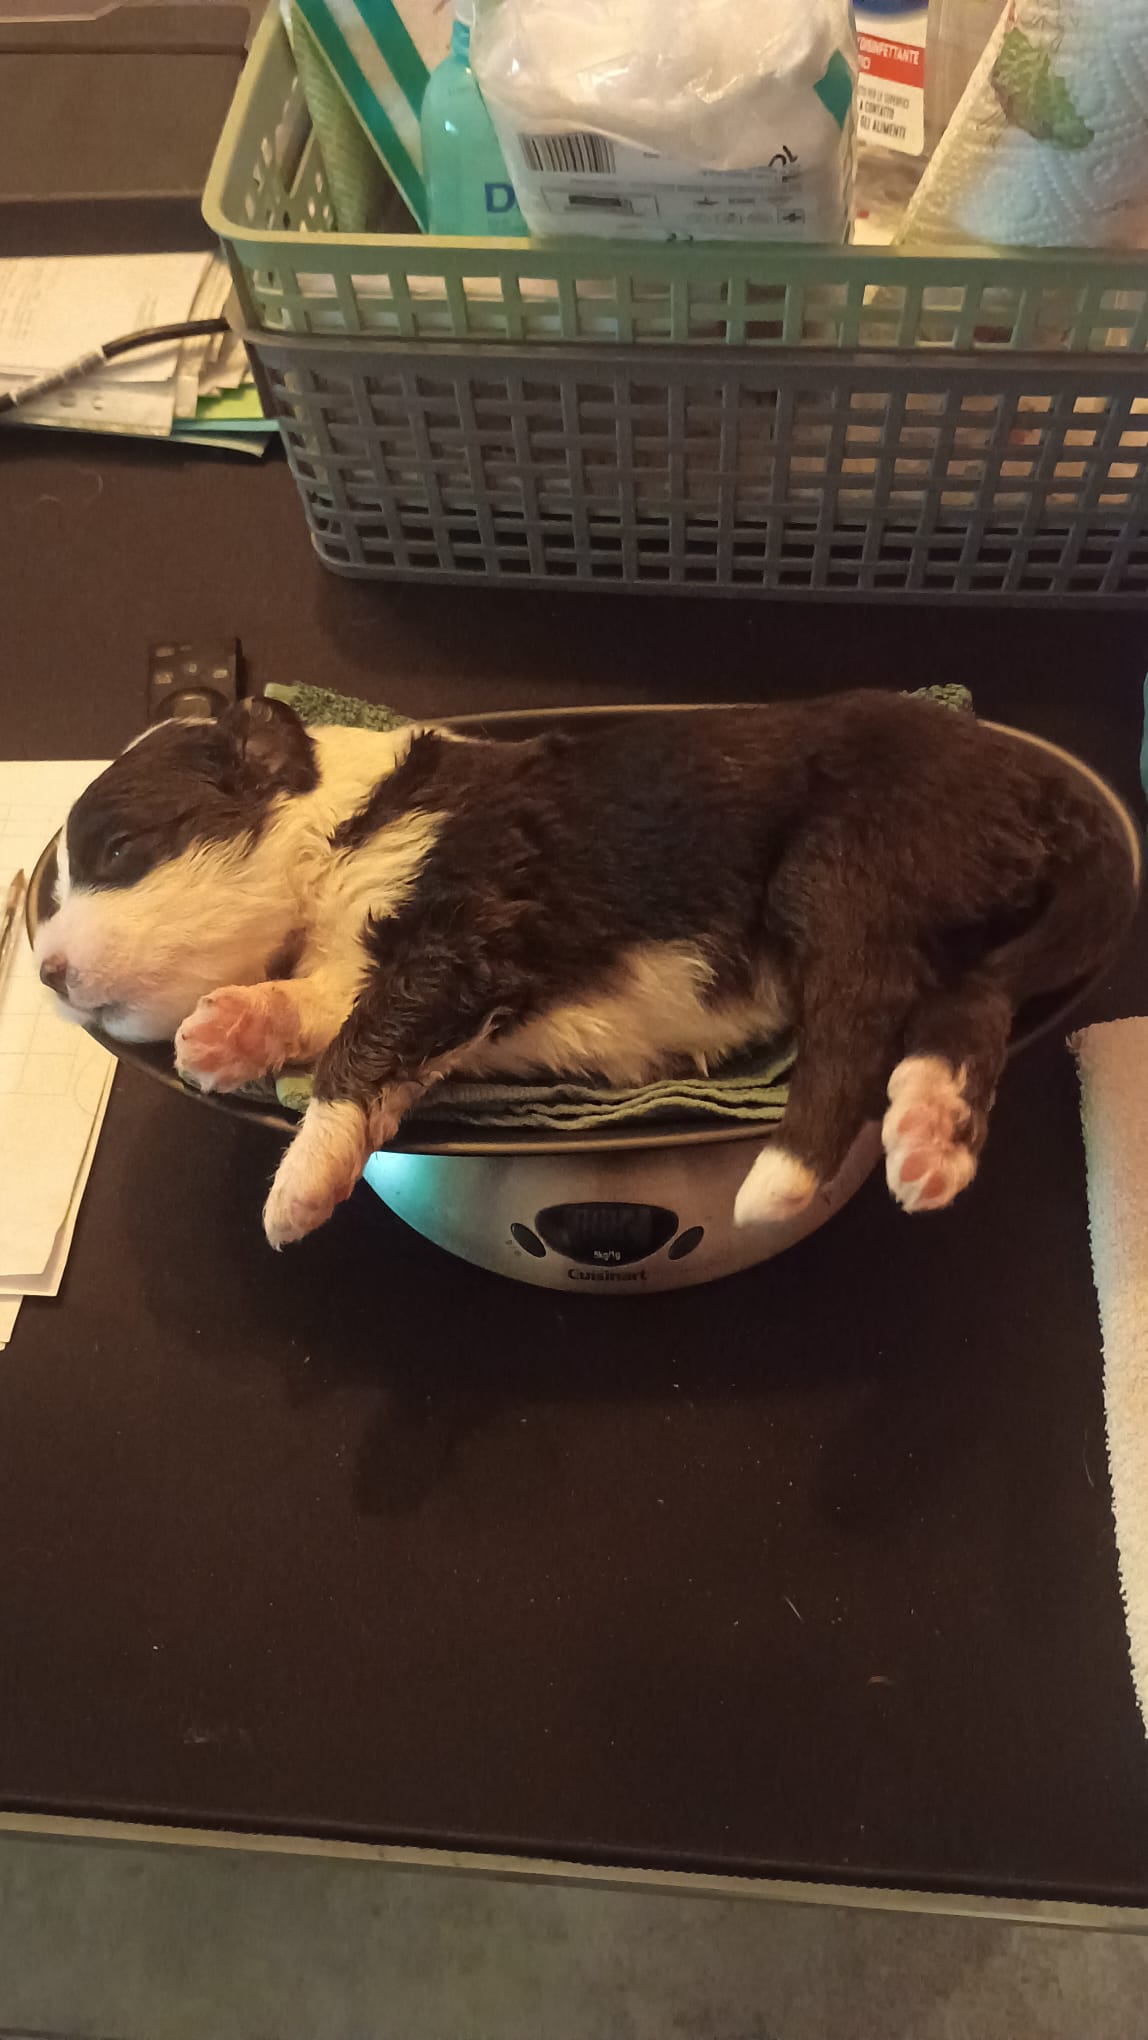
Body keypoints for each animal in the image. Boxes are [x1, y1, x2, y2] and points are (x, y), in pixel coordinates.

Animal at [34, 692, 1136, 1249]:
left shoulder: (468, 928)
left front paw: (298, 1189)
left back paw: (783, 1179)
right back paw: (928, 1134)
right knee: (966, 1007)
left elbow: (363, 1045)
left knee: (862, 1013)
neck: (346, 821)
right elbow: (339, 1010)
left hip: (853, 861)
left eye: (120, 848)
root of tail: (1045, 790)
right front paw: (226, 1030)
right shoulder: (388, 968)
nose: (41, 972)